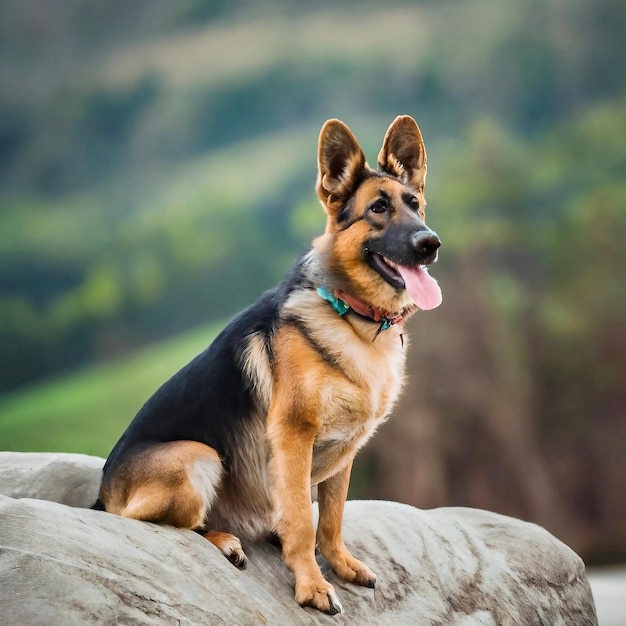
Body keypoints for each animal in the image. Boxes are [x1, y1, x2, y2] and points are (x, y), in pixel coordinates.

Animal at [95, 114, 442, 612]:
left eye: (414, 205)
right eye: (378, 208)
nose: (430, 243)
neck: (351, 314)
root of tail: (102, 496)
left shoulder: (345, 453)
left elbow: (331, 518)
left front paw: (340, 563)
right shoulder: (293, 436)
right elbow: (299, 518)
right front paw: (311, 585)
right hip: (198, 456)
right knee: (160, 523)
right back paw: (225, 541)